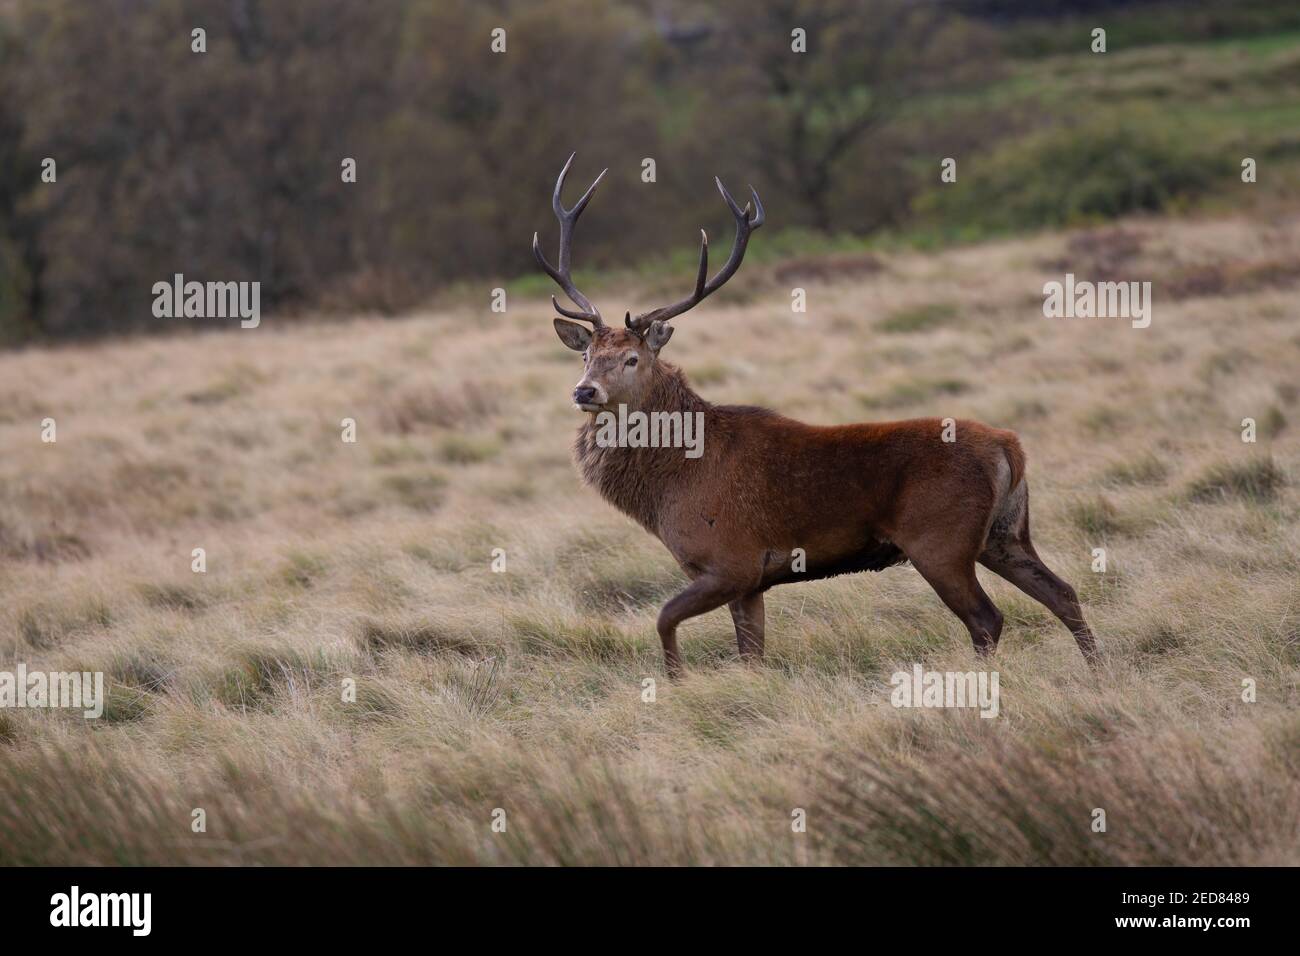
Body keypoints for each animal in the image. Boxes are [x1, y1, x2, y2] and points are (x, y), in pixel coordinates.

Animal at [533, 155, 1102, 681]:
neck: (671, 487)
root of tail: (1011, 447)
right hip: (1005, 535)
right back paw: (1098, 672)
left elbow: (664, 618)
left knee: (987, 619)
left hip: (939, 540)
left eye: (632, 358)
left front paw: (675, 685)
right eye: (587, 356)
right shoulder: (751, 583)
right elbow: (751, 655)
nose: (584, 391)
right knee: (1064, 593)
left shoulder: (732, 560)